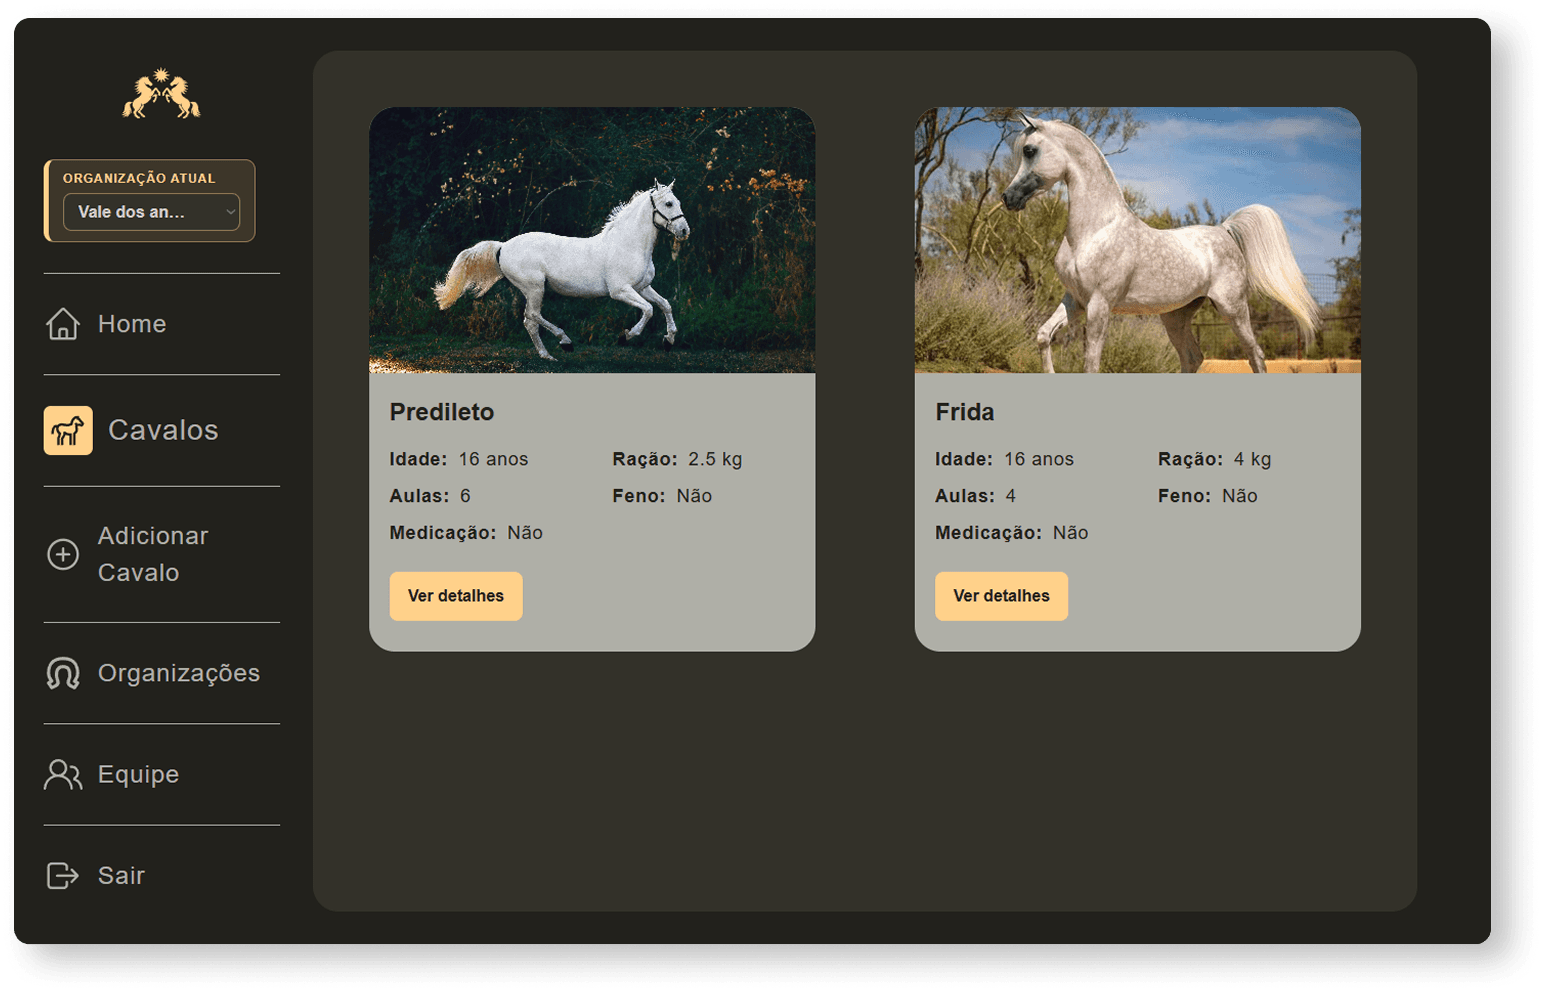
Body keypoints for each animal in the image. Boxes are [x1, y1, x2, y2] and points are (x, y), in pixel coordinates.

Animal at [433, 180, 691, 360]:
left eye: (678, 202)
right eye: (669, 203)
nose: (684, 231)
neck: (628, 245)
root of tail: (503, 246)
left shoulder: (643, 287)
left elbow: (665, 305)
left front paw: (668, 340)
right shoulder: (620, 291)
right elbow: (648, 310)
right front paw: (626, 336)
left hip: (533, 290)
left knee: (530, 321)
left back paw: (547, 355)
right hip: (535, 288)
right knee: (532, 316)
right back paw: (564, 342)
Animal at [1001, 115, 1320, 374]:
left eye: (1030, 150)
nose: (1008, 198)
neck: (1095, 230)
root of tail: (1224, 230)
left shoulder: (1099, 305)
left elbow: (1091, 364)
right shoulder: (1075, 300)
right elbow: (1043, 336)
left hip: (1232, 308)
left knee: (1255, 355)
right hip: (1175, 316)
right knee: (1193, 357)